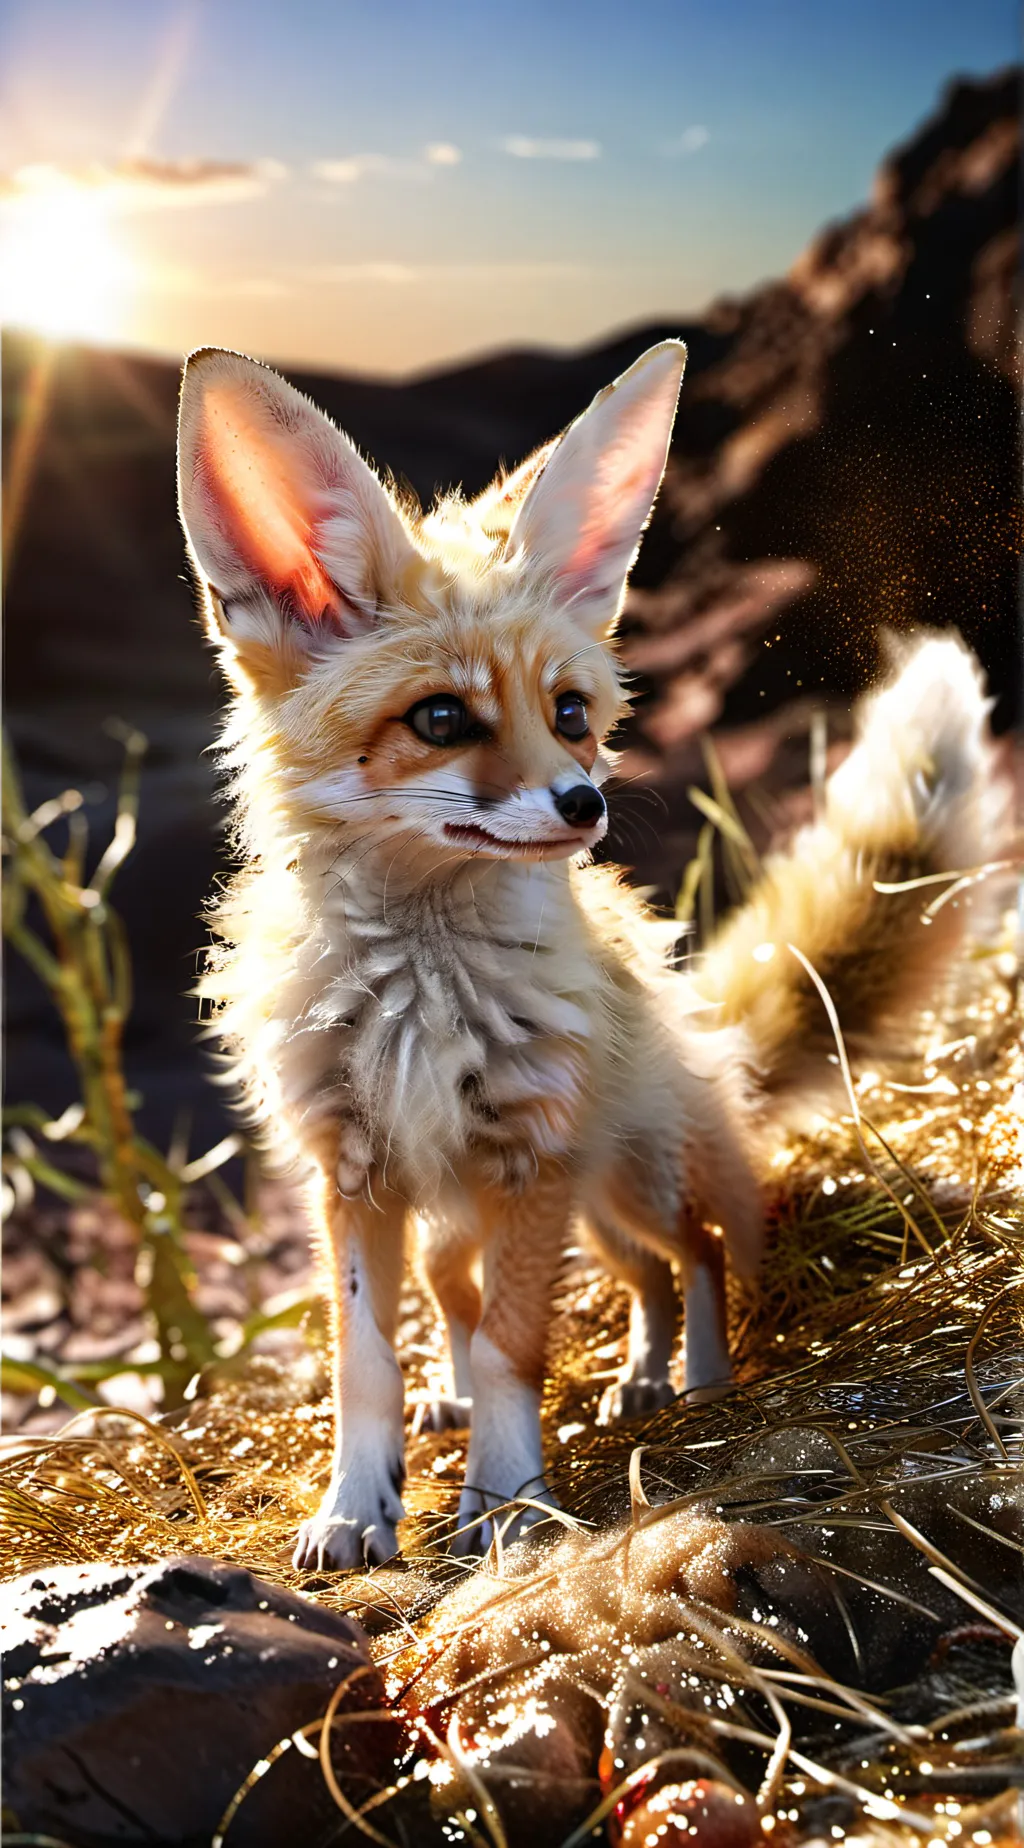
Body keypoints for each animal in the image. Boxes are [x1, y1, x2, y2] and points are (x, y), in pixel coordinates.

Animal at [176, 339, 1002, 1572]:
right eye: (440, 720)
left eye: (569, 712)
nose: (584, 805)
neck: (423, 994)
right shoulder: (355, 1173)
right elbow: (366, 1362)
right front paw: (355, 1506)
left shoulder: (533, 1155)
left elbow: (516, 1346)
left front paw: (509, 1499)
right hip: (529, 1215)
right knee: (531, 1291)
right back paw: (592, 1385)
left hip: (622, 1182)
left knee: (693, 1251)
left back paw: (691, 1379)